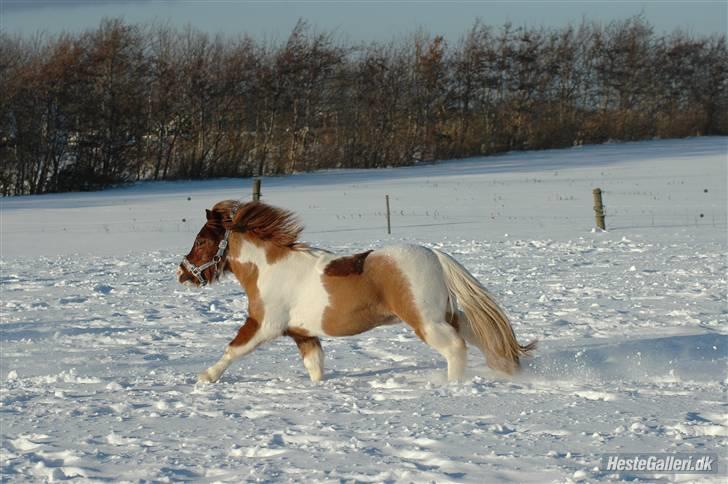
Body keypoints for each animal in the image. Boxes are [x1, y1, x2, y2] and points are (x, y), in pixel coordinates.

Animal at [177, 199, 536, 382]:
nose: (182, 273)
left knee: (456, 347)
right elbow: (315, 368)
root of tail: (434, 254)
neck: (267, 269)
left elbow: (233, 349)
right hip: (449, 315)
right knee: (479, 336)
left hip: (426, 321)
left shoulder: (264, 325)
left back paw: (453, 387)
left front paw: (204, 378)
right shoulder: (303, 334)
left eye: (202, 241)